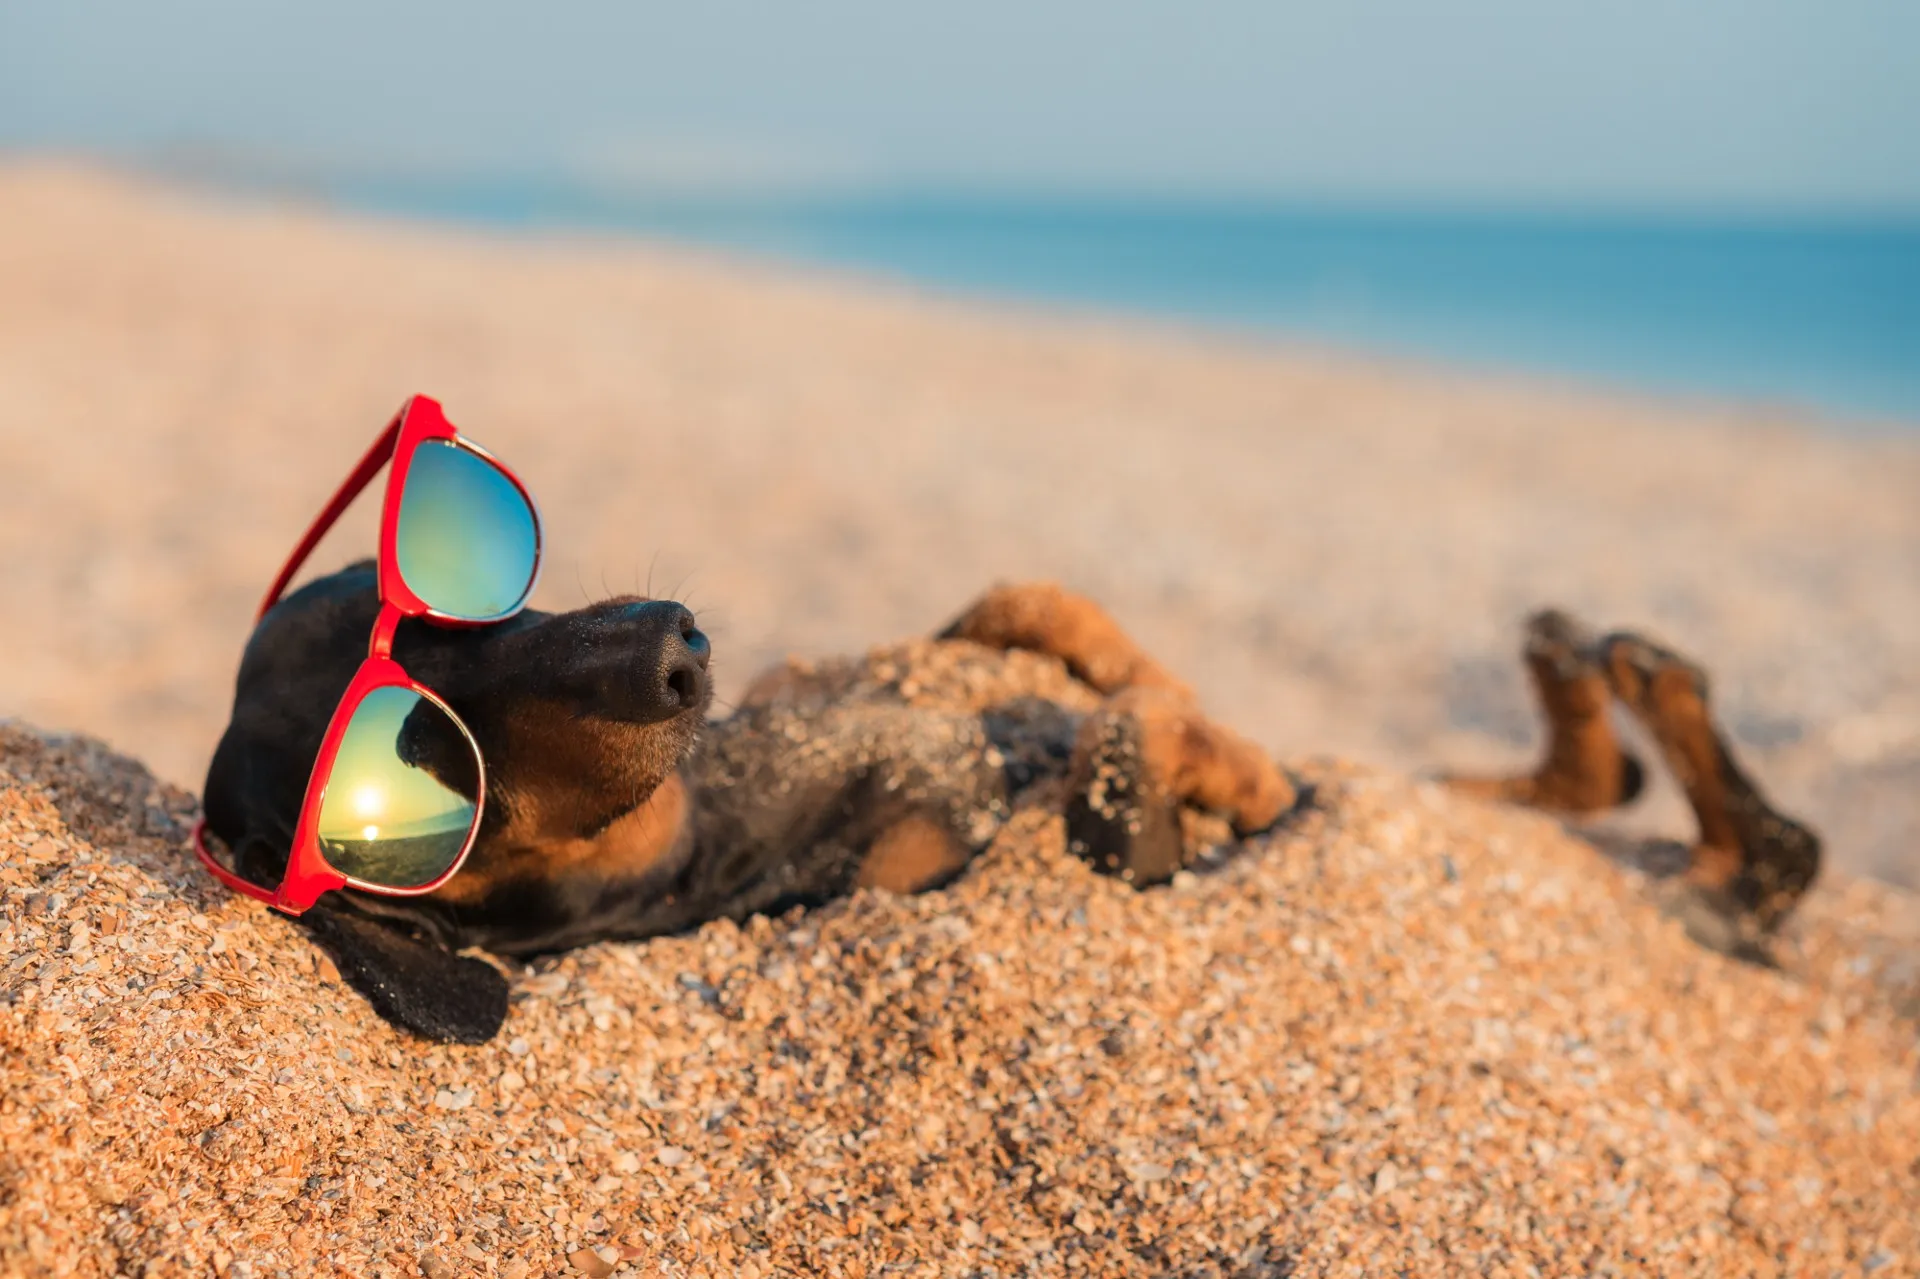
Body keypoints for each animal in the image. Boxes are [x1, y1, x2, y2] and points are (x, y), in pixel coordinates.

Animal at [202, 568, 1820, 1037]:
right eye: (436, 761)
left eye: (464, 613)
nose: (679, 643)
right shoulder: (1066, 858)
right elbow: (1123, 771)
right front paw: (1193, 762)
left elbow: (1045, 623)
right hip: (1715, 885)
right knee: (1769, 849)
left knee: (1633, 791)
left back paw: (1607, 664)